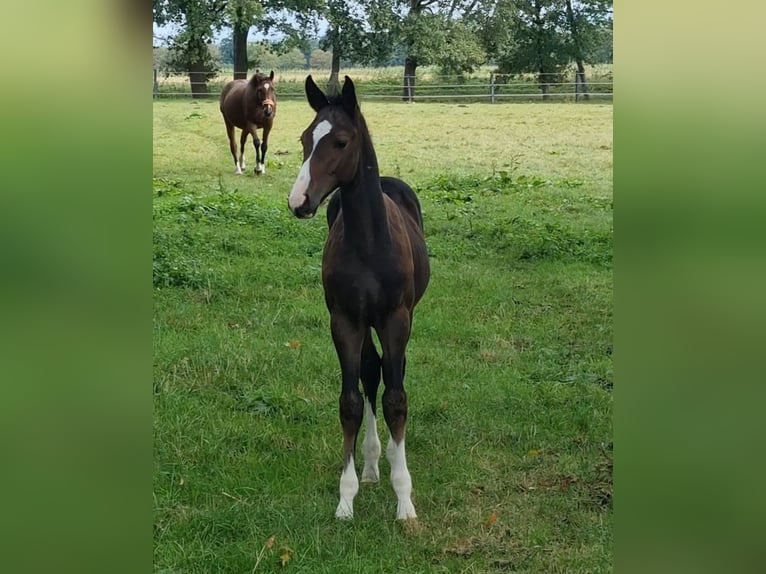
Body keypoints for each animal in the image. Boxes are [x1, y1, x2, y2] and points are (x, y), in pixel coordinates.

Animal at [290, 75, 432, 520]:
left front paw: (405, 500)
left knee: (389, 372)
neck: (369, 244)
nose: (299, 202)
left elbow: (397, 398)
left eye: (341, 141)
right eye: (305, 139)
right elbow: (351, 400)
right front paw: (346, 498)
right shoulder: (345, 320)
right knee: (371, 371)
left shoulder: (396, 319)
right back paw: (371, 465)